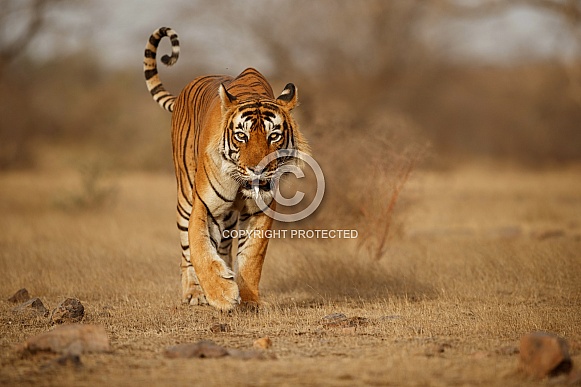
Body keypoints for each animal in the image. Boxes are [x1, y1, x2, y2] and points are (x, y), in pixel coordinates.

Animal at [143, 27, 308, 312]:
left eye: (274, 136)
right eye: (241, 136)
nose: (257, 170)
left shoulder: (260, 210)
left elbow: (252, 256)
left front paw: (249, 299)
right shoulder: (204, 205)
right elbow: (199, 247)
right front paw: (221, 294)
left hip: (228, 216)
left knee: (225, 246)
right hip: (185, 196)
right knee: (186, 250)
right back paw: (194, 293)